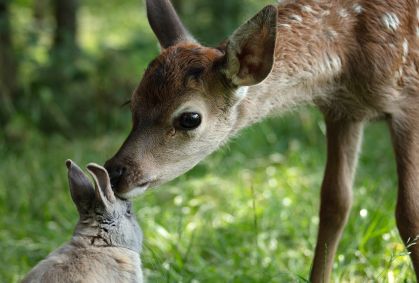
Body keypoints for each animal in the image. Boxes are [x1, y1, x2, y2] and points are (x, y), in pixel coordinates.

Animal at [105, 0, 419, 282]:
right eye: (131, 102)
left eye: (190, 118)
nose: (115, 172)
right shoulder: (343, 111)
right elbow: (335, 203)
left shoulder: (407, 101)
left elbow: (408, 213)